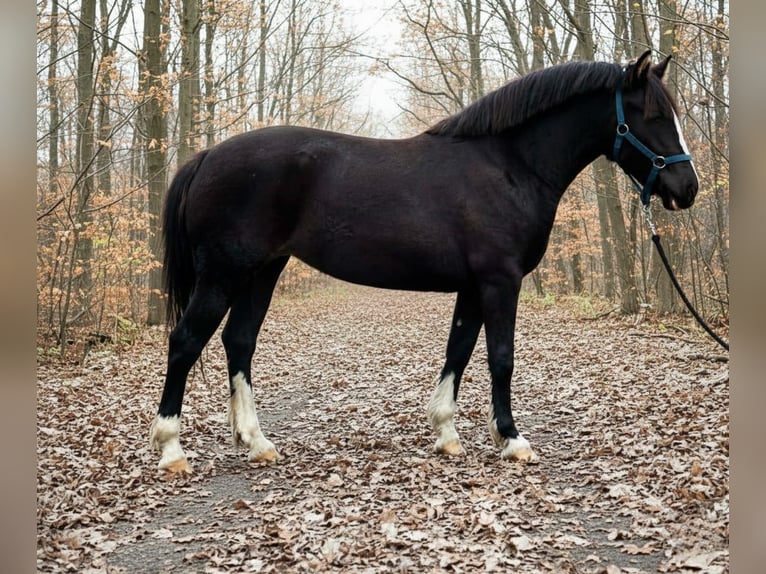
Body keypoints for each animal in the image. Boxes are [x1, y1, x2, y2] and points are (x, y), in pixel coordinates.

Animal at [149, 51, 698, 473]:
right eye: (653, 115)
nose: (687, 189)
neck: (510, 165)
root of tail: (206, 157)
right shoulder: (499, 282)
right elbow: (501, 357)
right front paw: (512, 439)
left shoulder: (473, 286)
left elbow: (459, 351)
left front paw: (447, 434)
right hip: (223, 275)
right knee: (185, 343)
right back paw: (172, 450)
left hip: (261, 272)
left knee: (238, 342)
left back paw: (257, 442)